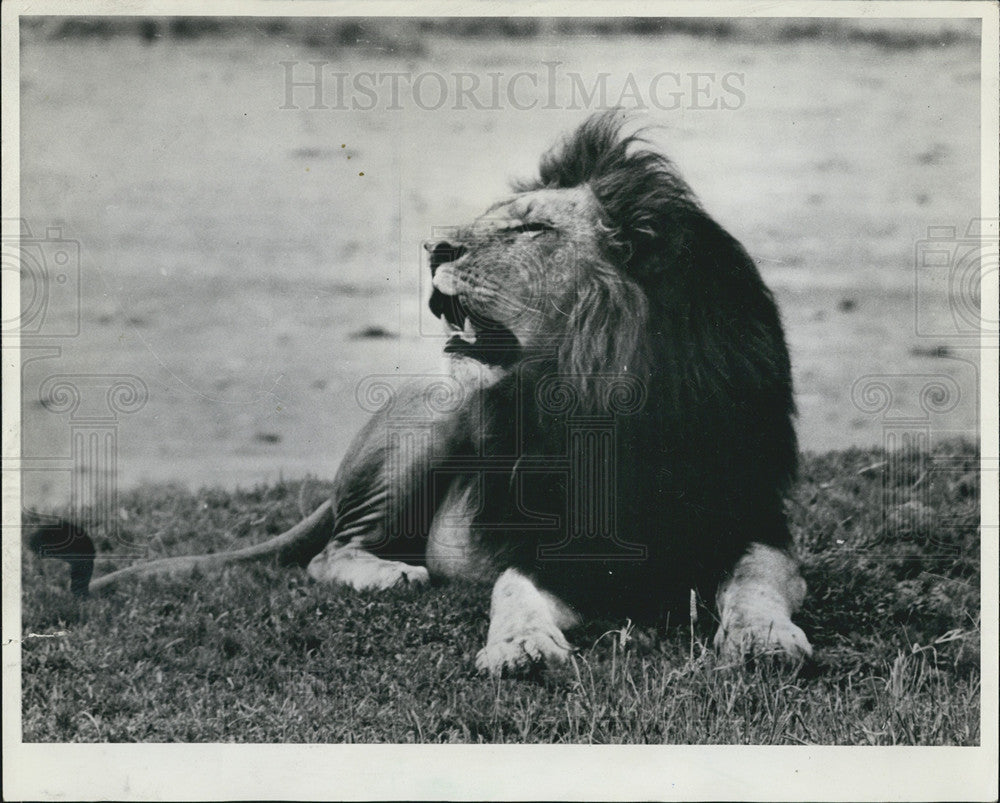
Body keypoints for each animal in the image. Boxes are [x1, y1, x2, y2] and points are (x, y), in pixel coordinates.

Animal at [33, 113, 812, 676]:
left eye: (532, 227)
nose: (435, 247)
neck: (594, 397)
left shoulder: (747, 519)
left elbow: (758, 580)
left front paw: (767, 640)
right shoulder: (536, 538)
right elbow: (509, 588)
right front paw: (519, 647)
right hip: (429, 424)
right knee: (330, 550)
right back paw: (393, 576)